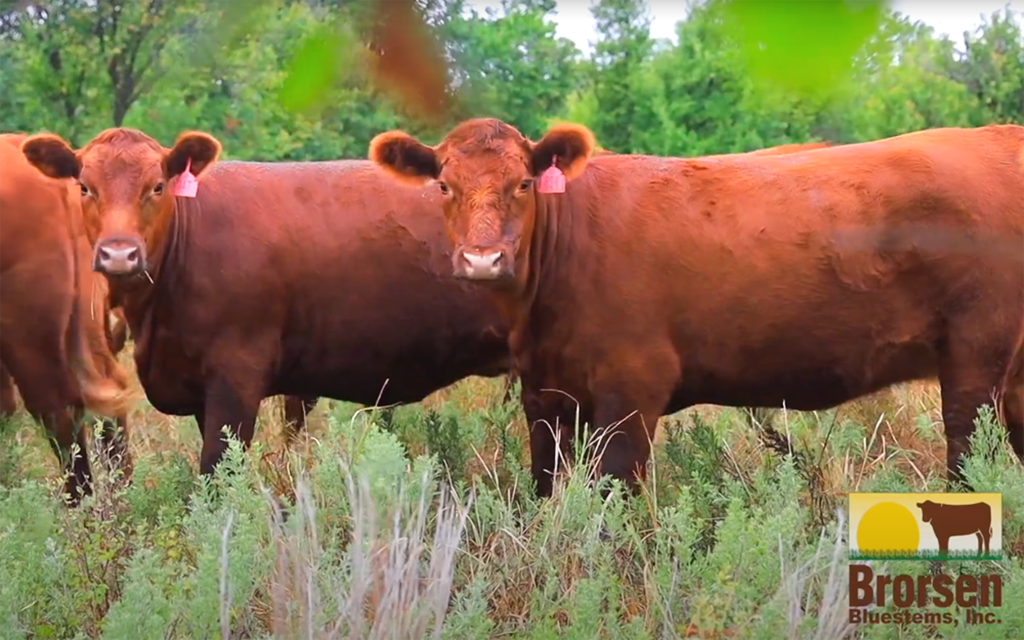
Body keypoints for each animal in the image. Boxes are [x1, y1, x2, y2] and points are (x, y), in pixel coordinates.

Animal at [368, 117, 1024, 497]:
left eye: (524, 184)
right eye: (444, 186)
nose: (483, 260)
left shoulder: (633, 387)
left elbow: (615, 497)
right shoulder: (545, 394)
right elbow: (547, 488)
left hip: (976, 353)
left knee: (968, 453)